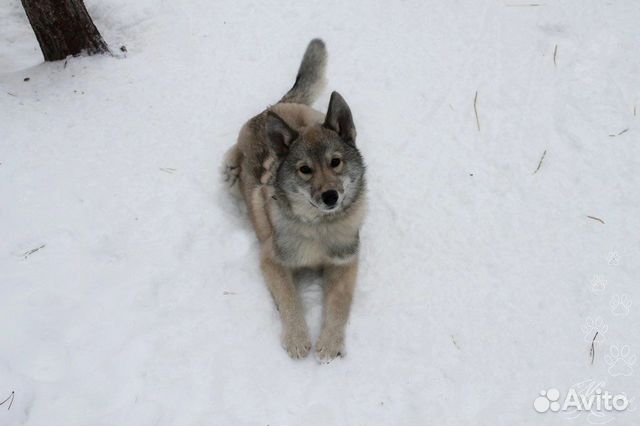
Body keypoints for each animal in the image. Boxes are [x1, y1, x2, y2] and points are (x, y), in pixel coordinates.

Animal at [224, 38, 364, 362]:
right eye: (305, 170)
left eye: (335, 162)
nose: (330, 196)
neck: (319, 228)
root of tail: (274, 107)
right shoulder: (272, 260)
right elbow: (290, 301)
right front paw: (298, 338)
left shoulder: (345, 262)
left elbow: (339, 305)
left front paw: (330, 342)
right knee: (231, 152)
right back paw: (231, 169)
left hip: (311, 117)